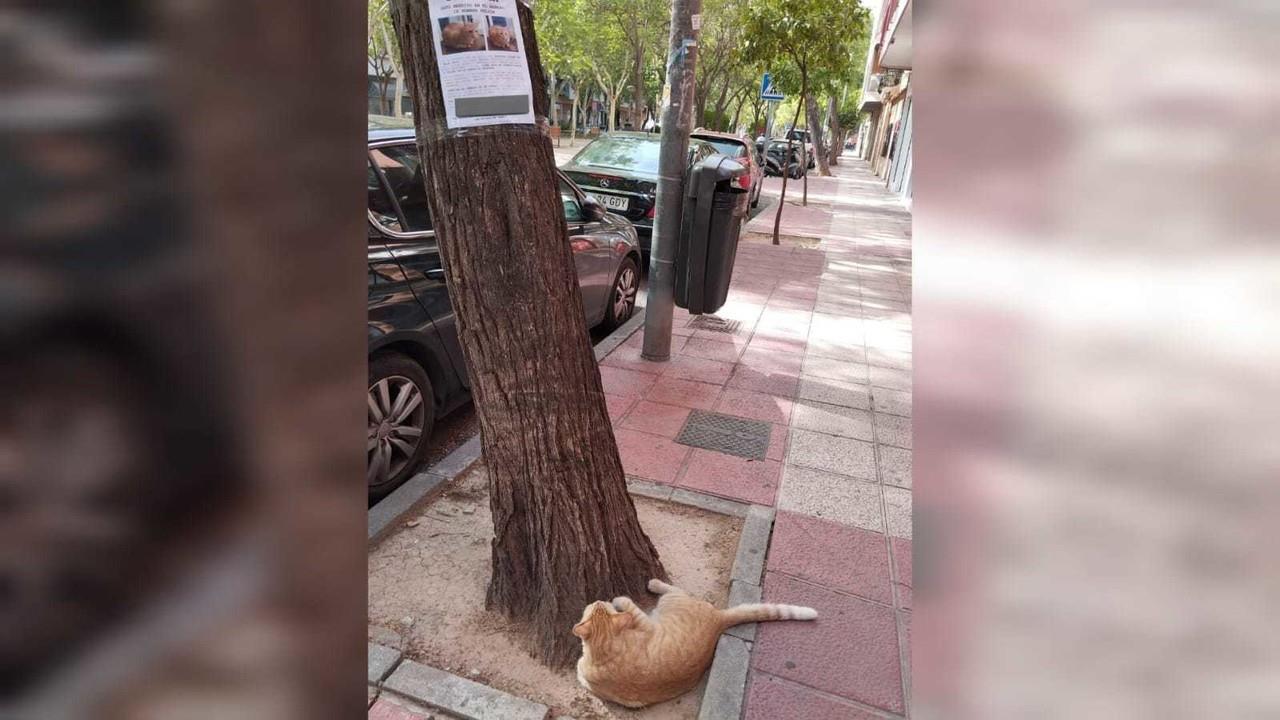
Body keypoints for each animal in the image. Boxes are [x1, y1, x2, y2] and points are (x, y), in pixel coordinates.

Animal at [573, 573, 814, 702]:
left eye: (597, 605)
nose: (598, 599)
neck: (604, 651)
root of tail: (718, 620)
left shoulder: (645, 624)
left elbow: (629, 606)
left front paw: (619, 599)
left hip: (672, 600)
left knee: (673, 588)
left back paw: (654, 583)